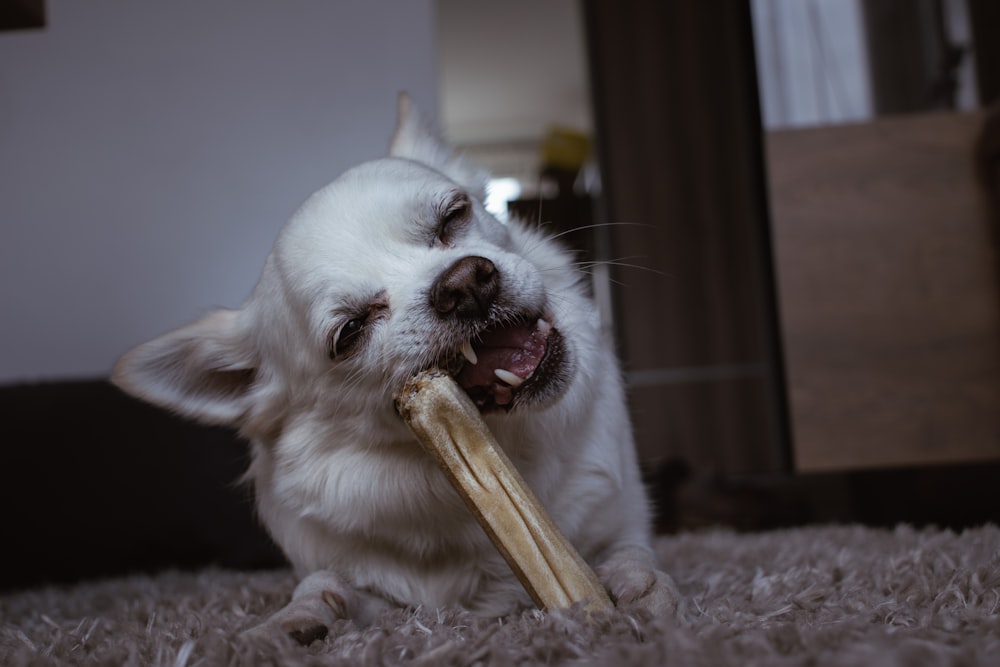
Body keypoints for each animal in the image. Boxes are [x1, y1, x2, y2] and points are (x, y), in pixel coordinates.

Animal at [115, 95, 680, 648]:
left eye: (454, 216)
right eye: (350, 332)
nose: (464, 283)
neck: (512, 450)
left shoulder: (623, 519)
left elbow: (633, 550)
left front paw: (638, 587)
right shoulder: (379, 590)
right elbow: (322, 584)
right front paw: (293, 623)